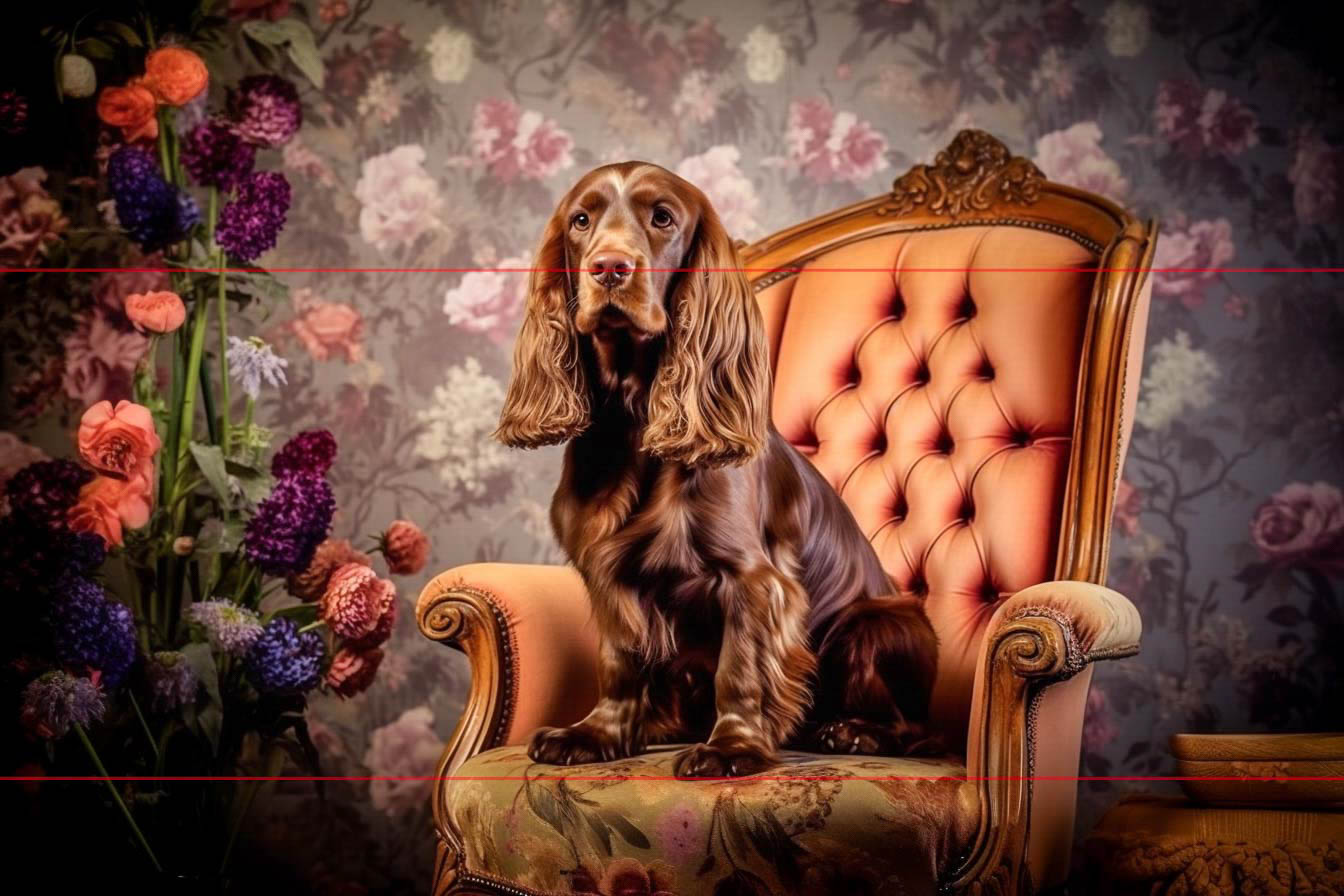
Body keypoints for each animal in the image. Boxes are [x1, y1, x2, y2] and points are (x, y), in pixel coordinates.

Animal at [499, 161, 940, 779]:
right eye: (581, 221)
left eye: (662, 217)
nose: (608, 267)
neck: (634, 421)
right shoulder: (607, 573)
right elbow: (618, 659)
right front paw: (597, 733)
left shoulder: (752, 578)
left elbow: (740, 668)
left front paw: (731, 747)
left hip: (877, 622)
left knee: (919, 730)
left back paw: (853, 732)